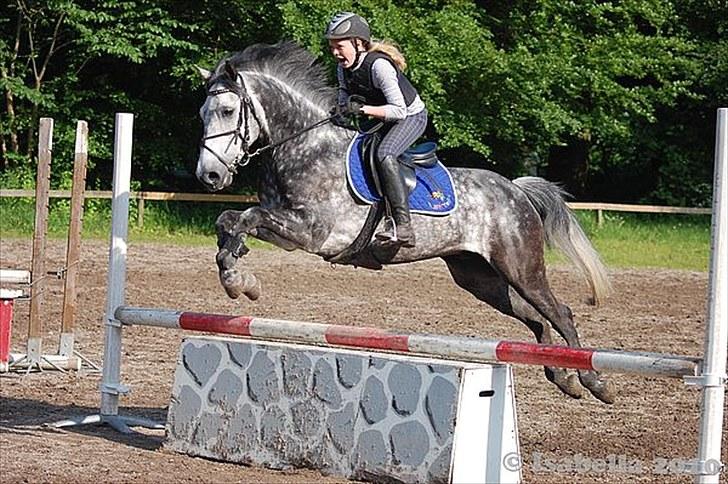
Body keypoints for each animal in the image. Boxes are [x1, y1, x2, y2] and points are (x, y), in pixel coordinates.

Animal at [195, 42, 615, 404]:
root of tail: (515, 189)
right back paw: (562, 377)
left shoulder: (312, 232)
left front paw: (238, 280)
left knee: (560, 312)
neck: (303, 147)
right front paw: (237, 276)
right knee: (537, 320)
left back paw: (593, 382)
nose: (209, 176)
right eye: (202, 115)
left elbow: (246, 216)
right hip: (479, 277)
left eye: (228, 111)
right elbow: (229, 220)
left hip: (521, 267)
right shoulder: (286, 229)